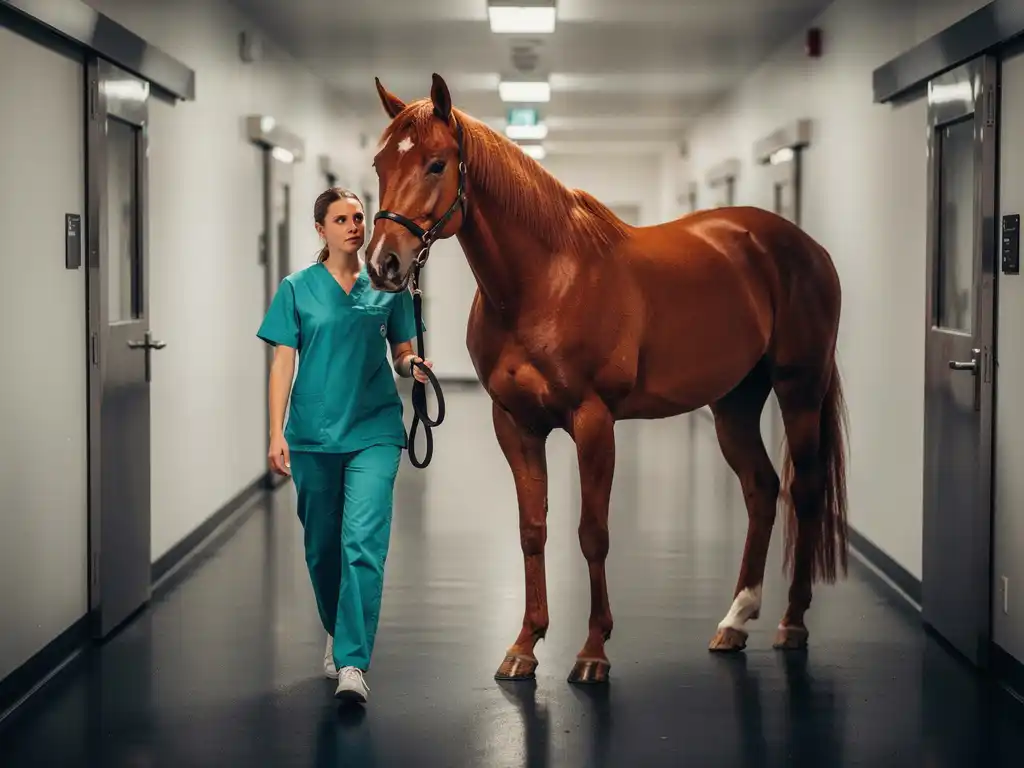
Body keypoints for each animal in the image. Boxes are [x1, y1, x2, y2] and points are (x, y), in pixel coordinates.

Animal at [364, 73, 849, 685]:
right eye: (380, 163)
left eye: (436, 163)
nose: (383, 264)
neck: (544, 282)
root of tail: (806, 247)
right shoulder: (514, 423)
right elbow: (532, 530)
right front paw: (524, 646)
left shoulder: (594, 421)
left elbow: (592, 534)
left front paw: (593, 651)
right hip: (734, 402)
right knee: (761, 488)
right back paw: (735, 621)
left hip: (799, 389)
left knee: (804, 491)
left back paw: (792, 622)